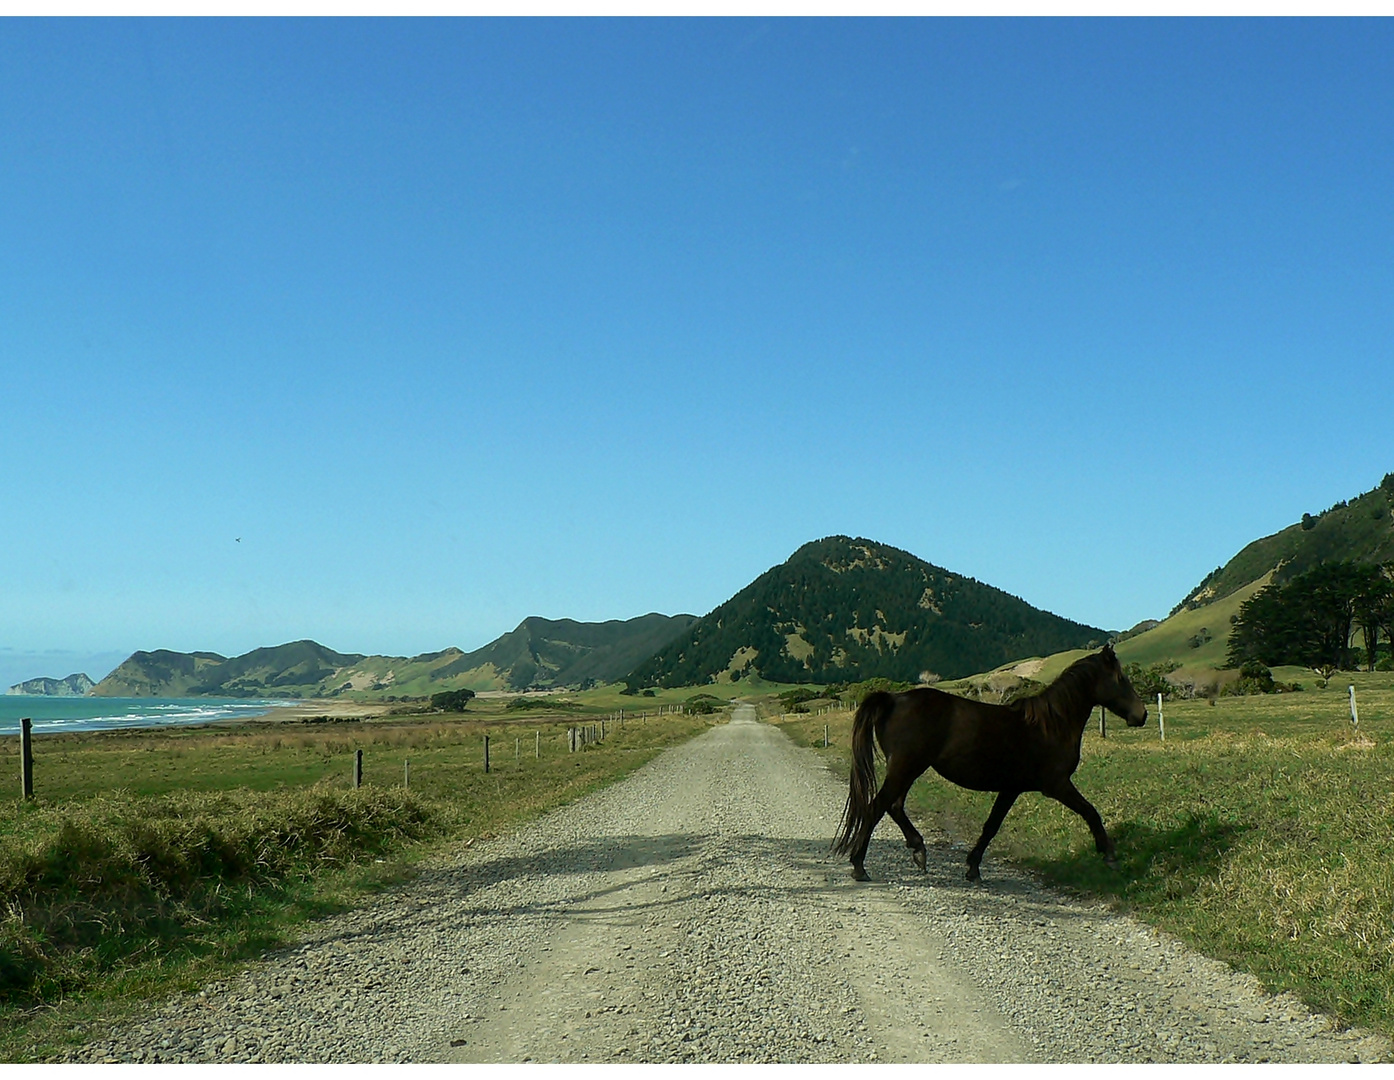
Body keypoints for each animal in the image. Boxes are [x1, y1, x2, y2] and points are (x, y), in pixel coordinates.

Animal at [830, 646, 1148, 880]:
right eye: (1121, 679)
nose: (1141, 714)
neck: (1051, 724)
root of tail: (893, 699)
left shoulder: (1011, 788)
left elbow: (991, 826)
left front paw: (972, 866)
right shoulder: (1056, 785)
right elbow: (1091, 812)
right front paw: (1109, 855)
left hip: (907, 769)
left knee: (893, 806)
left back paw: (918, 850)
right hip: (906, 767)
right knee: (876, 807)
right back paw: (859, 866)